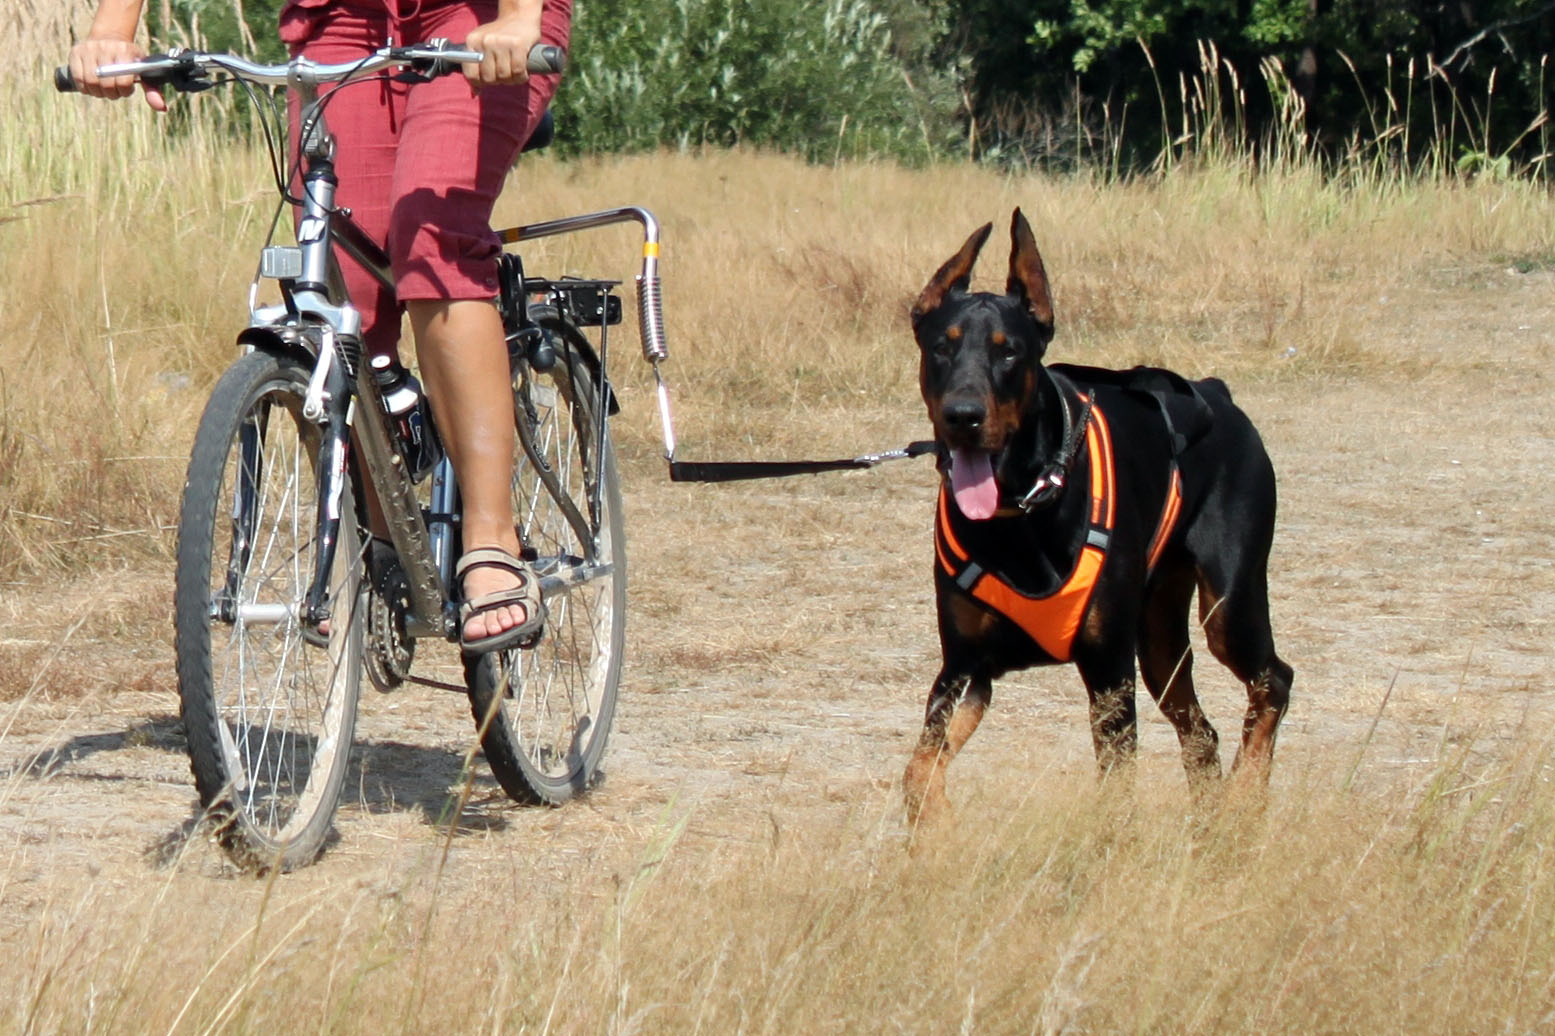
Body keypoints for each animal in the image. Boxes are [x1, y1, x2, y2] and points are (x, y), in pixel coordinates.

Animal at [901, 211, 1287, 833]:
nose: (963, 417)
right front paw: (936, 825)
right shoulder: (965, 667)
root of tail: (1217, 394)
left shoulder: (1108, 672)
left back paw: (1247, 792)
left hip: (1228, 603)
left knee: (1272, 680)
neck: (1019, 510)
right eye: (941, 346)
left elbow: (1115, 798)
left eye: (1010, 353)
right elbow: (919, 767)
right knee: (1201, 732)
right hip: (1157, 635)